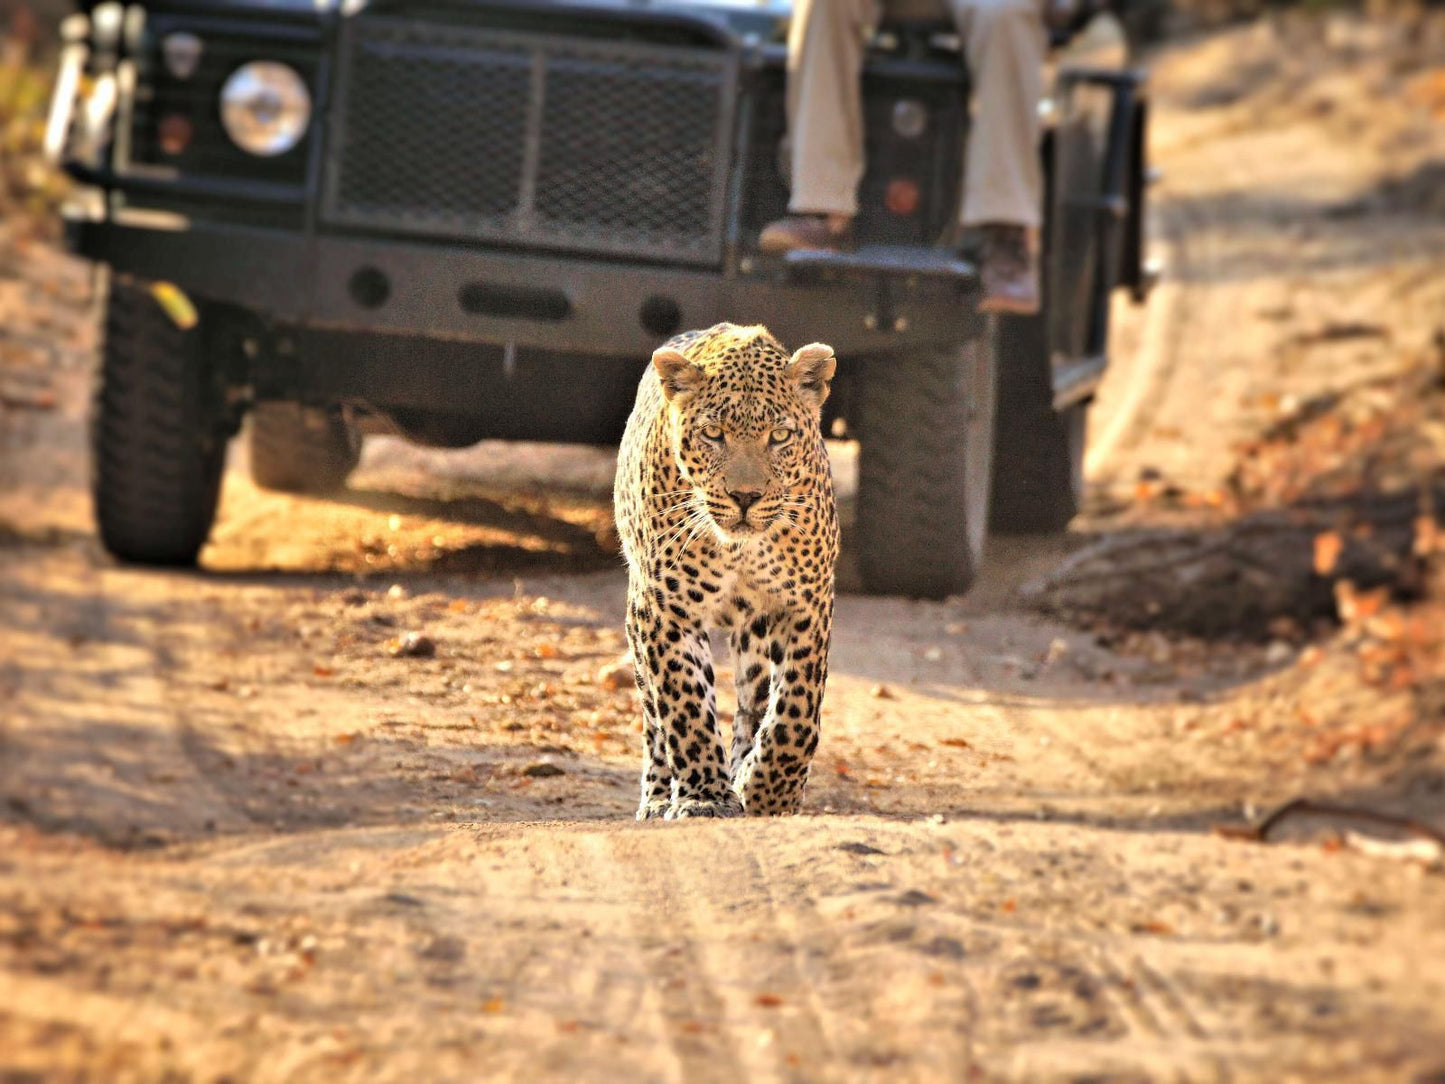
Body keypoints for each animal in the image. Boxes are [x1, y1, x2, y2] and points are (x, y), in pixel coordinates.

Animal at [615, 322, 843, 820]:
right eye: (713, 433)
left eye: (780, 435)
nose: (745, 496)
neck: (741, 549)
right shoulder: (665, 609)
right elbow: (685, 704)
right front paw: (705, 796)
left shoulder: (807, 604)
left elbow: (796, 711)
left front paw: (767, 792)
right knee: (654, 721)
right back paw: (658, 797)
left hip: (754, 633)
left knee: (752, 704)